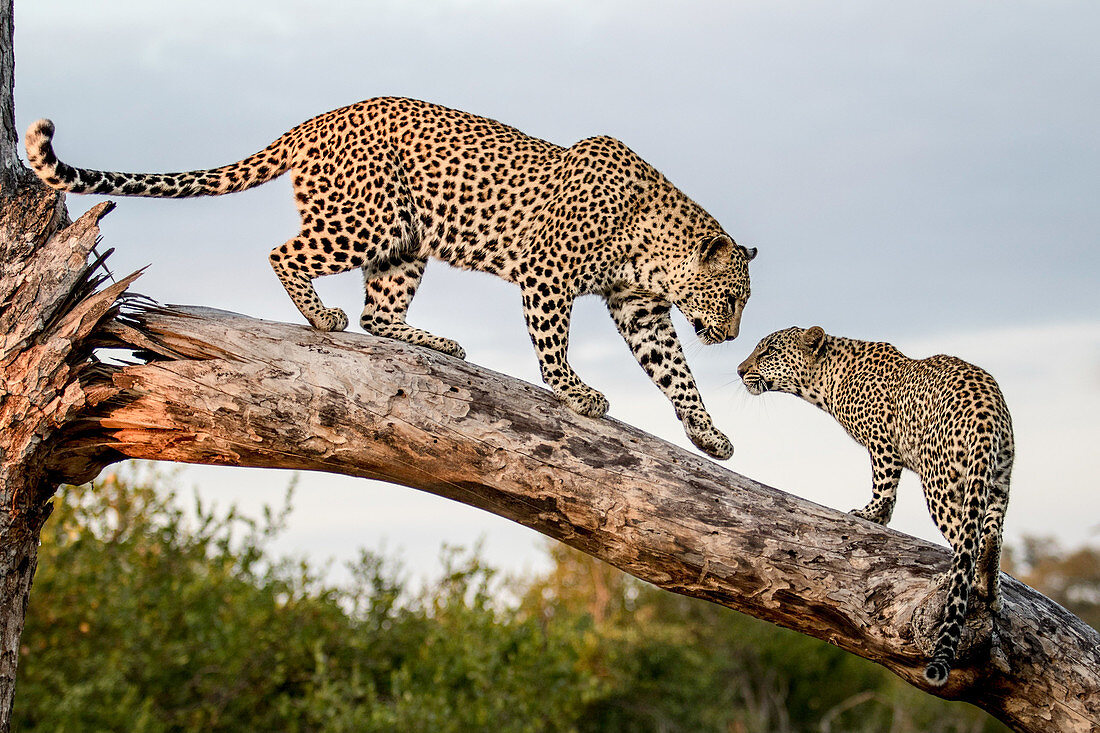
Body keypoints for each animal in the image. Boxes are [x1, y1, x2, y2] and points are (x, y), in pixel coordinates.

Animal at [23, 94, 756, 453]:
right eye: (731, 299)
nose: (729, 336)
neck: (651, 247)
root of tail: (319, 117)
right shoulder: (548, 275)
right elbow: (553, 347)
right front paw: (577, 393)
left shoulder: (641, 310)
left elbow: (677, 374)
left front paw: (710, 434)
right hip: (366, 220)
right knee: (286, 255)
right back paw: (322, 316)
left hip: (405, 241)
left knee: (381, 314)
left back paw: (434, 340)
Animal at [739, 325, 1012, 686]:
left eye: (768, 351)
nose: (739, 370)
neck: (826, 379)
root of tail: (987, 408)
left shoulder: (882, 444)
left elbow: (883, 489)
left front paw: (870, 514)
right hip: (997, 479)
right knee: (992, 535)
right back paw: (992, 592)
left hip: (939, 477)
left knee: (967, 539)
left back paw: (950, 579)